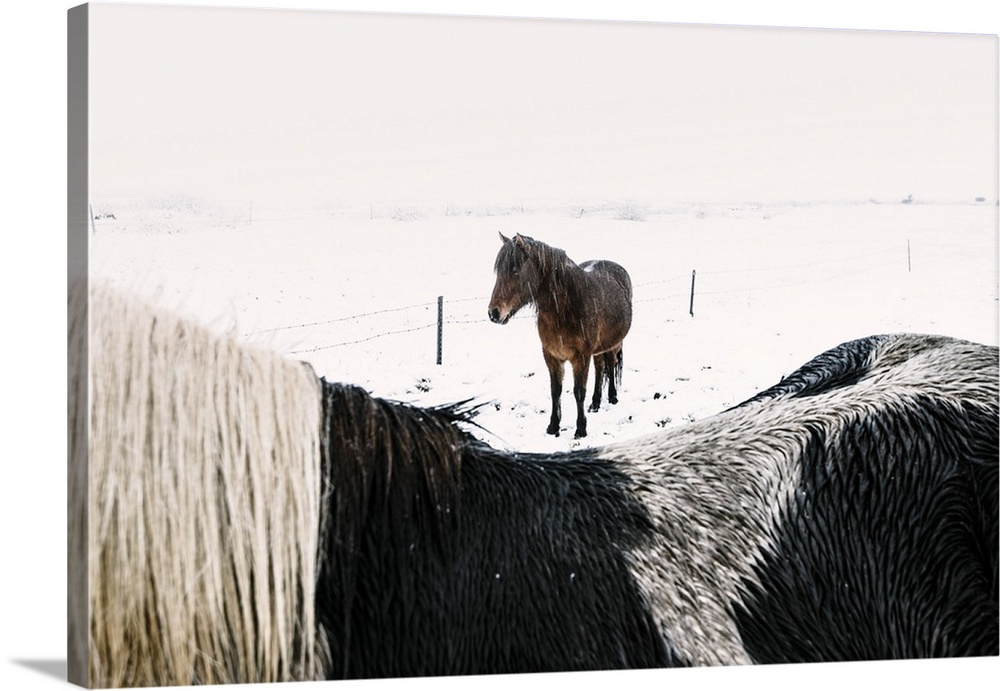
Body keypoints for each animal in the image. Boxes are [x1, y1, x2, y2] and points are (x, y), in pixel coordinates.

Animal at [486, 232, 632, 438]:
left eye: (515, 270)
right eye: (498, 271)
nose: (494, 313)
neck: (565, 309)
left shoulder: (581, 357)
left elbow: (579, 391)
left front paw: (581, 429)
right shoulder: (551, 355)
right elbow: (556, 390)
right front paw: (553, 426)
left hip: (613, 343)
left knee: (610, 365)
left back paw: (612, 397)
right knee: (599, 368)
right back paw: (595, 403)